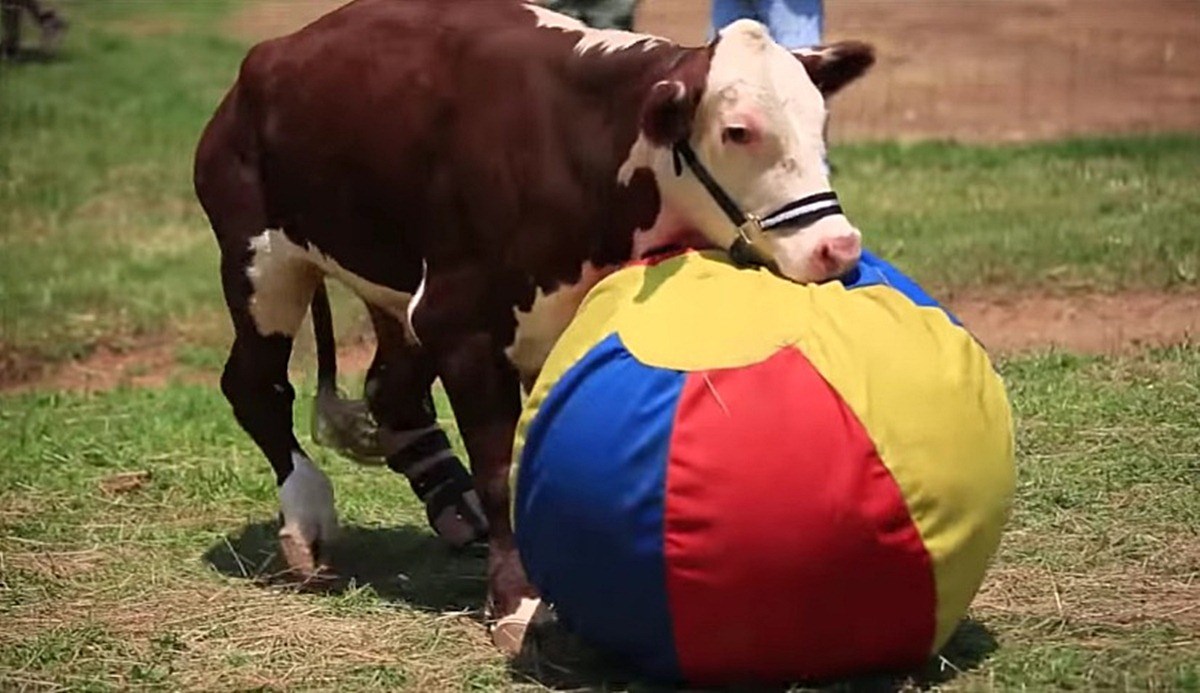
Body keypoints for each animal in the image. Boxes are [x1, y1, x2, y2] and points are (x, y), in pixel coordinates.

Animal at [194, 0, 873, 647]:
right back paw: (305, 520)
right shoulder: (461, 323)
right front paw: (517, 601)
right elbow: (500, 470)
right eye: (738, 131)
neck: (578, 143)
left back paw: (453, 506)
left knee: (391, 390)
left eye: (820, 122)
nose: (836, 247)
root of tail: (268, 59)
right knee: (255, 387)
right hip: (262, 264)